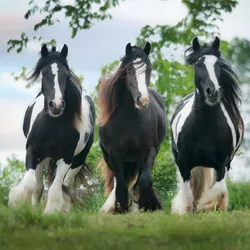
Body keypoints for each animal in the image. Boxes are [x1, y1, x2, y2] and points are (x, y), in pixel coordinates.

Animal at [8, 43, 95, 213]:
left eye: (66, 75)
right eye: (44, 73)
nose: (56, 105)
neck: (53, 125)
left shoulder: (66, 158)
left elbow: (55, 190)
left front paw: (51, 213)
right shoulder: (32, 151)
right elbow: (31, 185)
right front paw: (23, 208)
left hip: (77, 161)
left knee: (66, 187)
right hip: (44, 158)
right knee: (39, 186)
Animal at [97, 41, 166, 213]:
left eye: (149, 68)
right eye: (128, 69)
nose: (143, 100)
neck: (129, 118)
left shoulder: (149, 150)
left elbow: (144, 180)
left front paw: (144, 205)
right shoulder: (115, 153)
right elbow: (121, 186)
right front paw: (121, 209)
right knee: (118, 181)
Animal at [170, 36, 244, 214]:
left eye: (218, 65)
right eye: (198, 64)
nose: (213, 92)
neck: (204, 126)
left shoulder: (223, 162)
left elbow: (217, 190)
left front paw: (208, 207)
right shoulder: (183, 162)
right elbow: (186, 192)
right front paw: (185, 210)